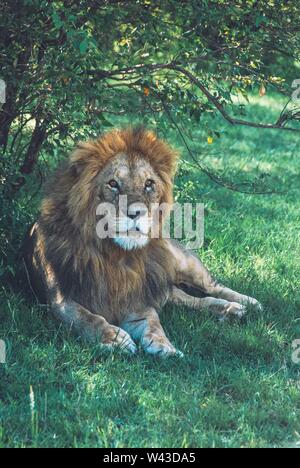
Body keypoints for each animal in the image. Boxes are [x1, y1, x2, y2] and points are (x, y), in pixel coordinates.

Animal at [24, 126, 262, 356]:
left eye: (149, 184)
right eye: (113, 184)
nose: (136, 212)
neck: (116, 255)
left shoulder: (138, 300)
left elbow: (154, 323)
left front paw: (165, 346)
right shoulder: (61, 300)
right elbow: (88, 318)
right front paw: (114, 339)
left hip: (182, 263)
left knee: (212, 286)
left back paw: (246, 304)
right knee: (191, 299)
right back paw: (230, 310)